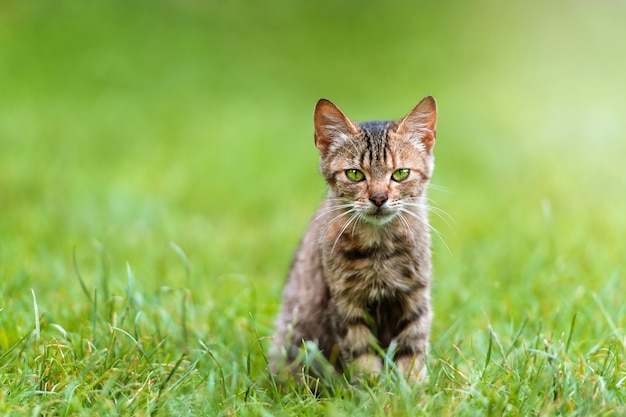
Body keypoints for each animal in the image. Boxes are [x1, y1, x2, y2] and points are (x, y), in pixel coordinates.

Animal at [270, 96, 436, 384]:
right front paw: (374, 392)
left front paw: (413, 391)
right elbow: (363, 358)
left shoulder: (415, 298)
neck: (380, 249)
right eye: (355, 174)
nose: (379, 198)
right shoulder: (345, 304)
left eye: (401, 173)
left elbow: (412, 353)